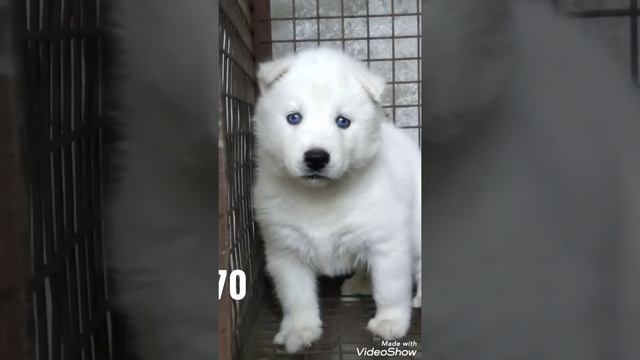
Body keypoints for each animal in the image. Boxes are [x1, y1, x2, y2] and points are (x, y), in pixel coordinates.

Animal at [252, 47, 422, 352]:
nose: (316, 158)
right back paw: (359, 285)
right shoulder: (285, 250)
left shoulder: (387, 243)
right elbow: (296, 297)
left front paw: (390, 322)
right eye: (294, 117)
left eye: (343, 121)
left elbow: (389, 288)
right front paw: (299, 331)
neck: (320, 196)